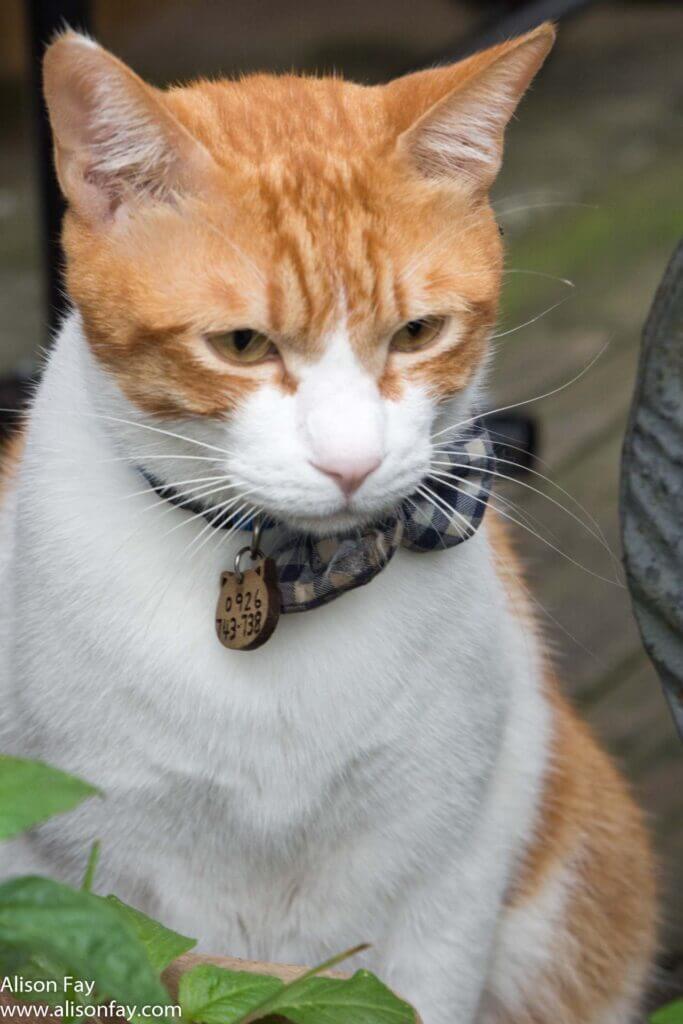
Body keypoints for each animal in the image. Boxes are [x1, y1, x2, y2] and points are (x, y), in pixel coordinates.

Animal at [0, 24, 655, 1024]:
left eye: (418, 332)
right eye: (240, 345)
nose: (351, 462)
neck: (298, 570)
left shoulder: (444, 871)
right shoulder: (109, 872)